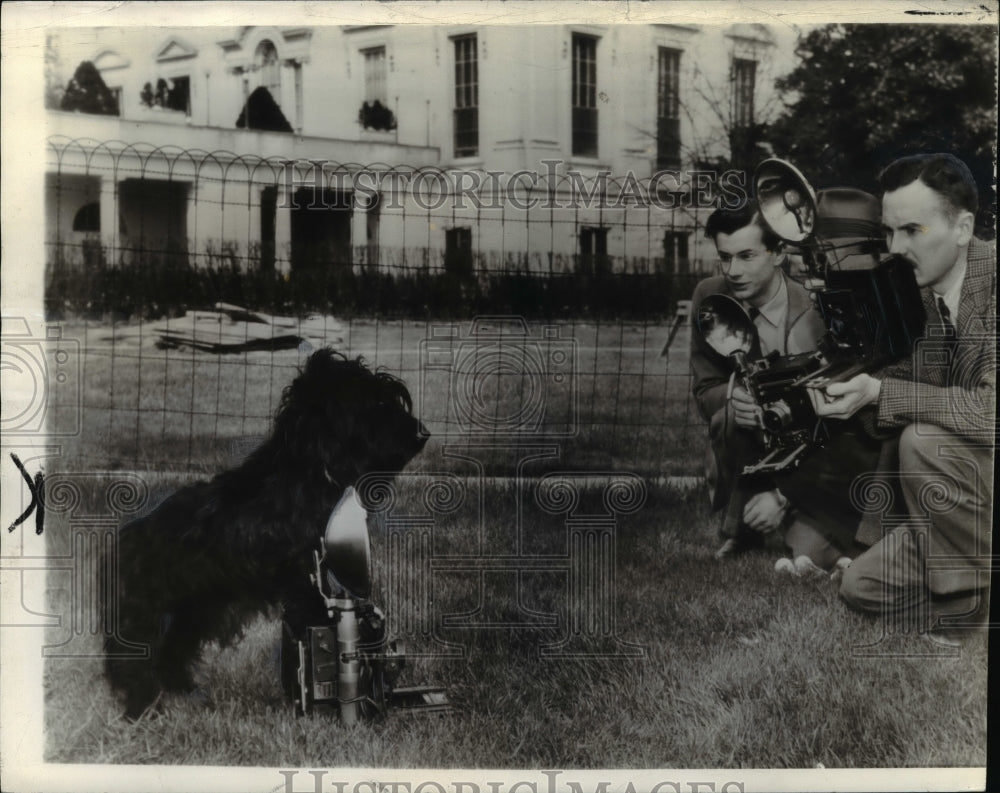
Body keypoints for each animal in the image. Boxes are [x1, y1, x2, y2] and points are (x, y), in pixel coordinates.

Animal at [103, 348, 428, 716]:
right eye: (379, 404)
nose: (423, 434)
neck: (309, 471)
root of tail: (126, 539)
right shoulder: (300, 576)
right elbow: (309, 615)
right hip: (145, 617)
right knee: (131, 661)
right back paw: (142, 708)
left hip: (196, 611)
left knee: (172, 652)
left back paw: (182, 691)